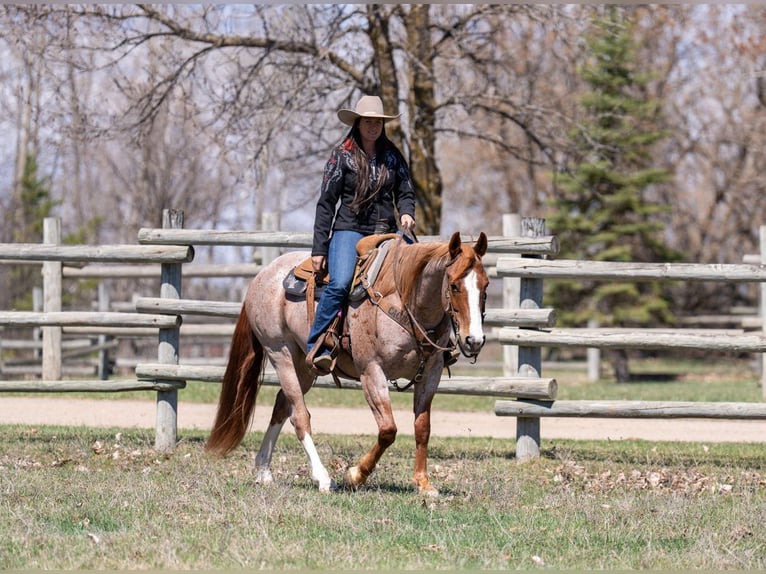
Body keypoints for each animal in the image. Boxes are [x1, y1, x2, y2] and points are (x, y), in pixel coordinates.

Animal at [205, 231, 489, 495]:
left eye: (485, 286)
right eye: (454, 285)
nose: (474, 340)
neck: (403, 301)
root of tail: (262, 275)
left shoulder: (431, 374)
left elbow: (422, 428)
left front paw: (423, 483)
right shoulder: (371, 372)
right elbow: (388, 430)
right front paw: (355, 475)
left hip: (304, 366)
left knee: (282, 407)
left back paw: (264, 470)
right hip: (280, 353)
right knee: (299, 416)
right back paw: (322, 477)